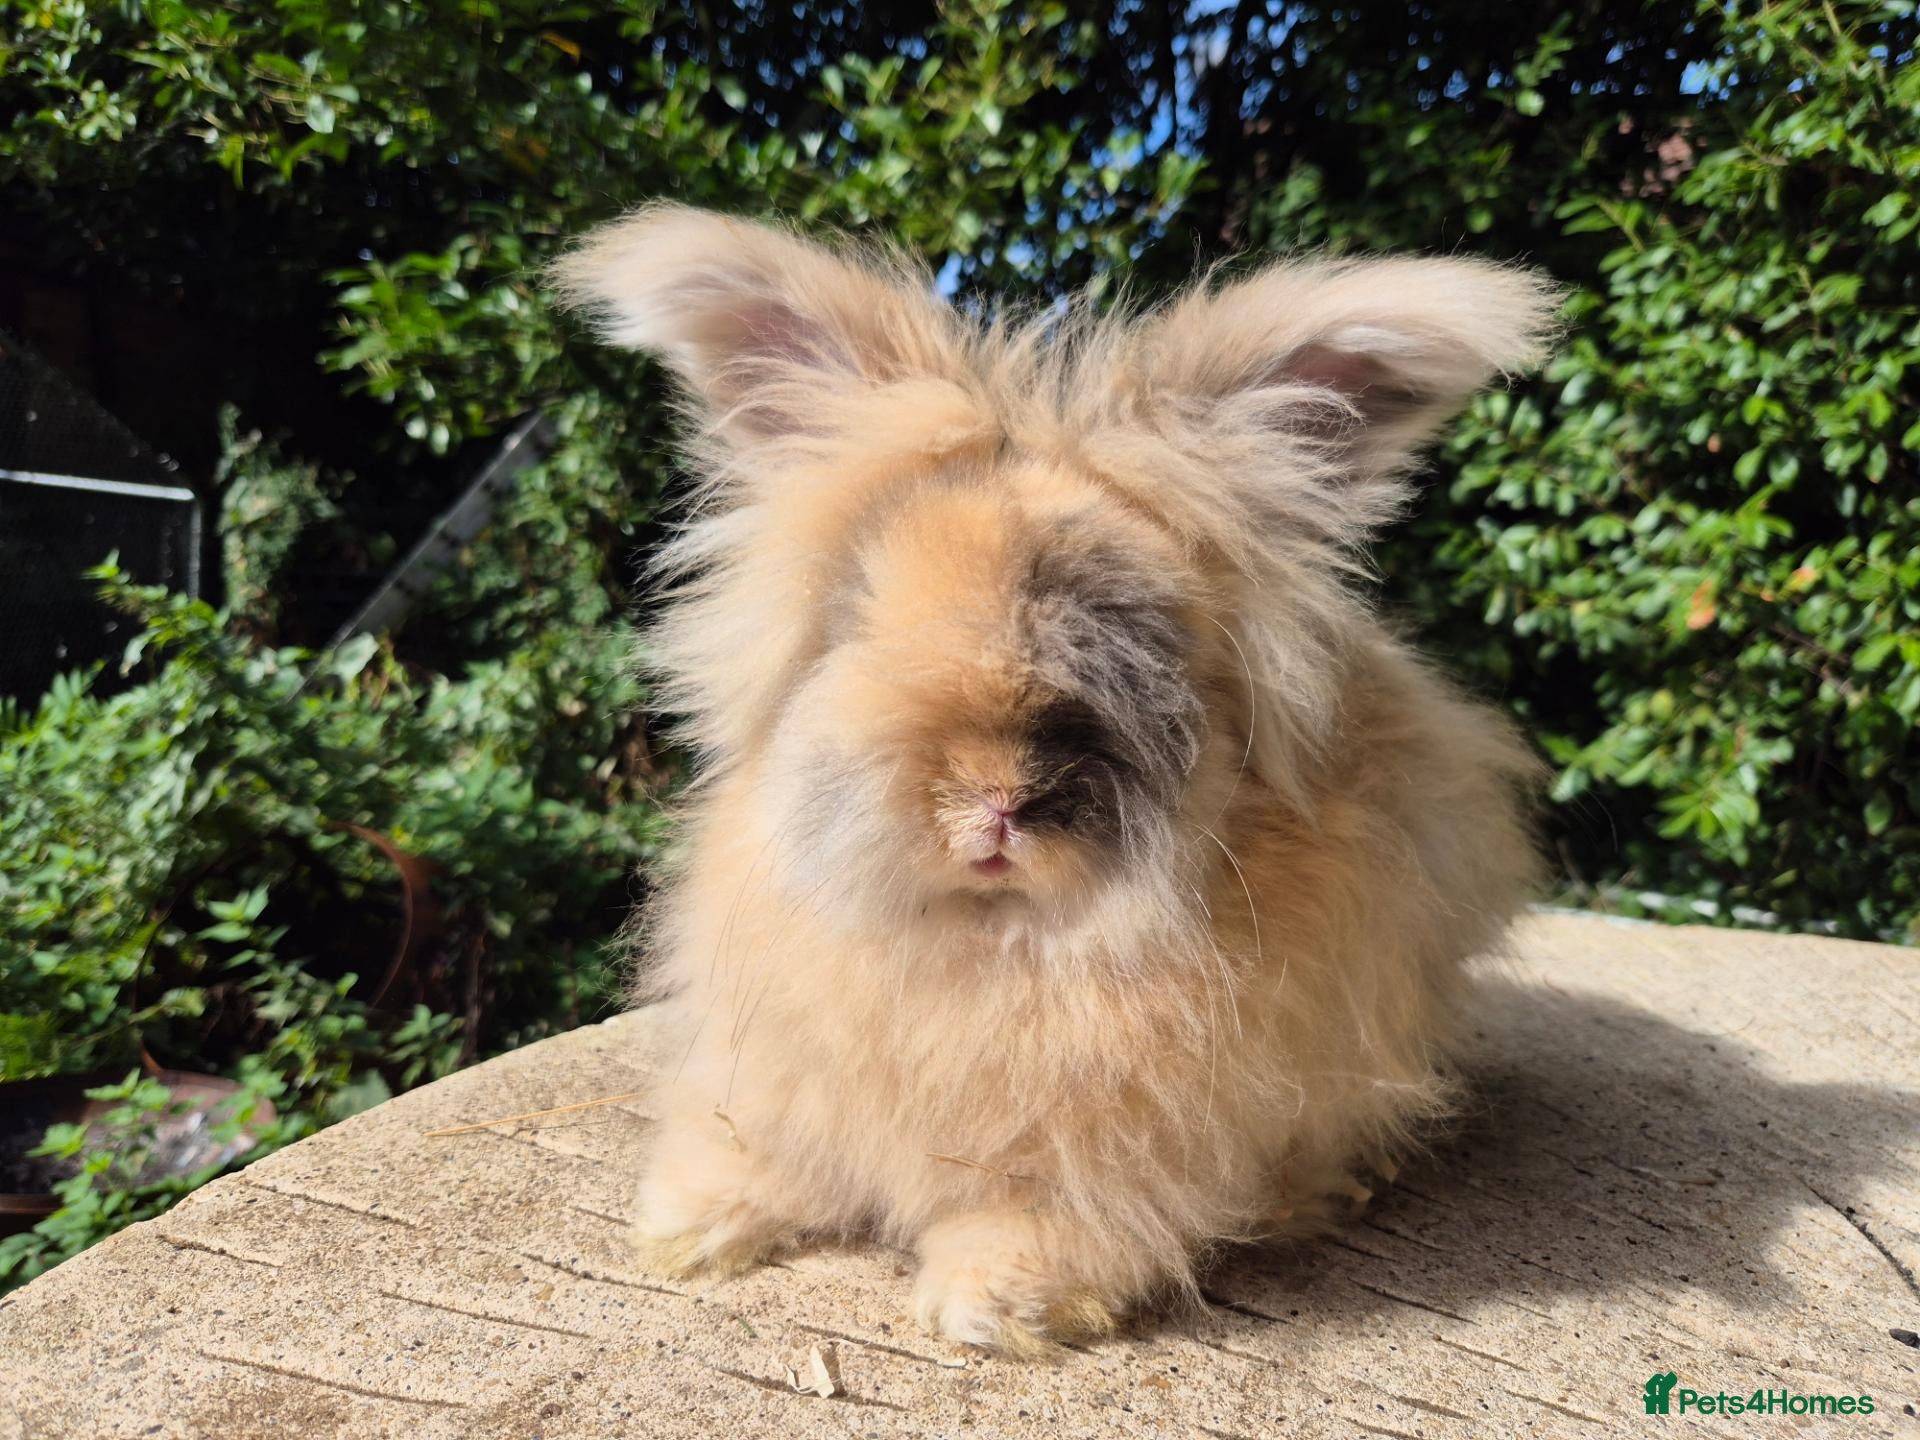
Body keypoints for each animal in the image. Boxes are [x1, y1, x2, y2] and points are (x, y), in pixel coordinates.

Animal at [554, 205, 1556, 1354]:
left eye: (1144, 637)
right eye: (855, 616)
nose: (996, 797)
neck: (992, 940)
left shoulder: (1130, 1143)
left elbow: (1061, 1211)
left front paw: (992, 1308)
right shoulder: (775, 1059)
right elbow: (761, 1141)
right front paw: (686, 1226)